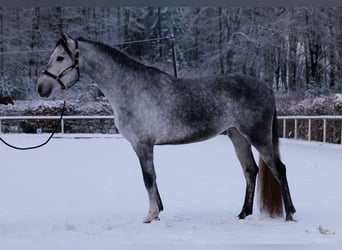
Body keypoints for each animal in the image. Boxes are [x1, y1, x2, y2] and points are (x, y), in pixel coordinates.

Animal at [36, 33, 296, 223]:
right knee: (250, 171)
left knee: (279, 169)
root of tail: (266, 87)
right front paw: (158, 211)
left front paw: (151, 215)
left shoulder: (142, 144)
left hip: (258, 137)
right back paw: (243, 214)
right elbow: (152, 178)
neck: (130, 88)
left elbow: (148, 178)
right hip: (238, 137)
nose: (41, 87)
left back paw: (290, 214)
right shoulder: (145, 146)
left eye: (59, 58)